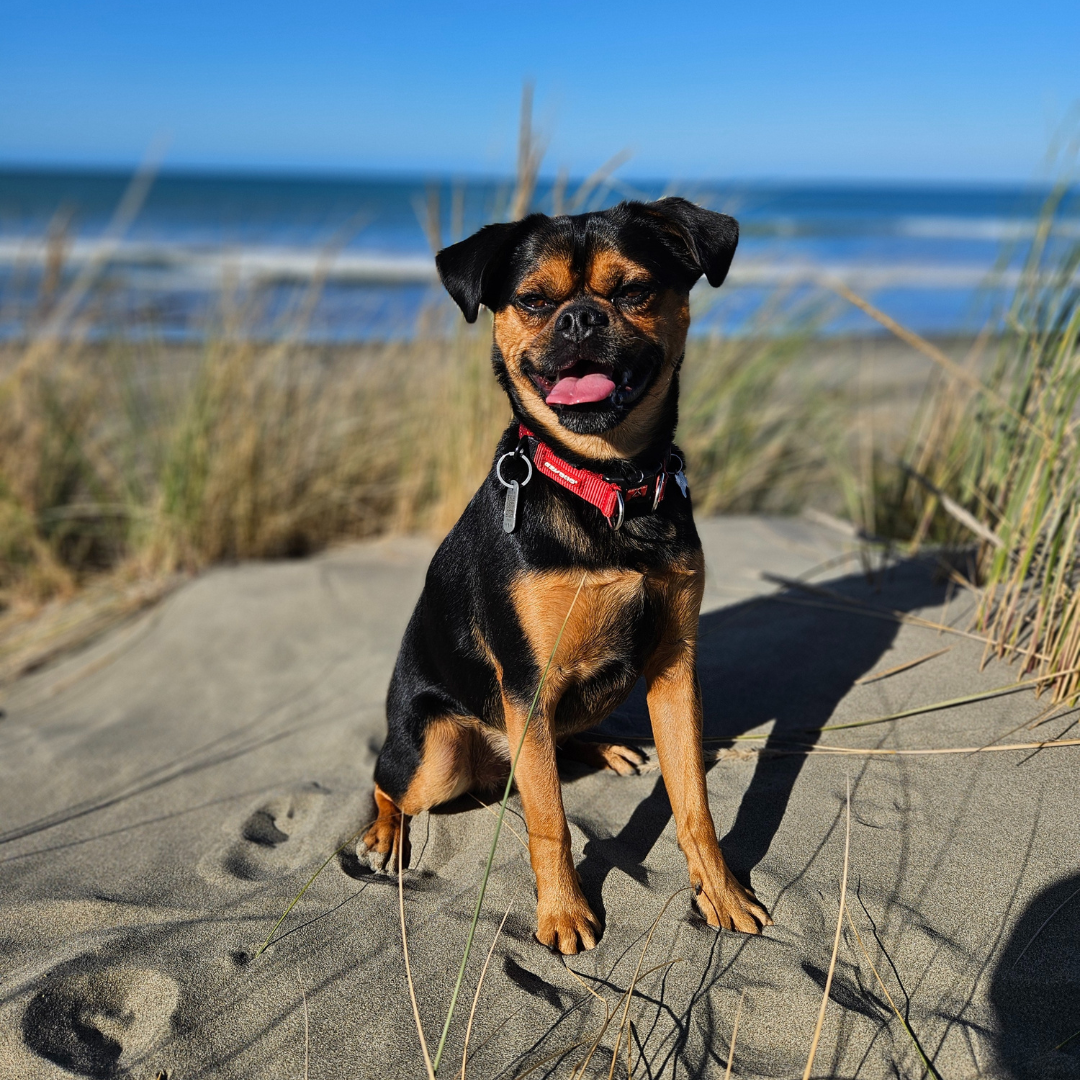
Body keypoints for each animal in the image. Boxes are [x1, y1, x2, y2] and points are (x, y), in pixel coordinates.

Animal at [358, 196, 773, 954]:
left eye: (634, 291)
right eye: (532, 301)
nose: (581, 317)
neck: (608, 486)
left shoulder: (674, 666)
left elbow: (694, 805)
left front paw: (722, 892)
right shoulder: (528, 680)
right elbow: (549, 819)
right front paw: (563, 913)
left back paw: (608, 747)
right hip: (436, 753)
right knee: (387, 784)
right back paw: (382, 834)